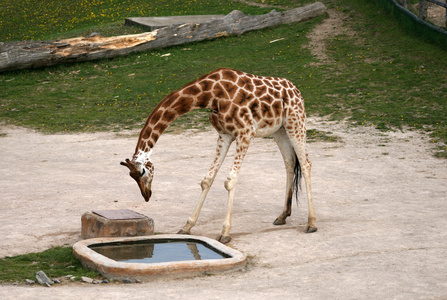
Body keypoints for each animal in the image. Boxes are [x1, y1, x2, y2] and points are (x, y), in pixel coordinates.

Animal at [121, 68, 318, 244]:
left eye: (142, 172)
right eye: (131, 176)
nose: (146, 195)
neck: (210, 95)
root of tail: (296, 90)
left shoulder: (245, 132)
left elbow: (230, 181)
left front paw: (224, 232)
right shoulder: (224, 135)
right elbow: (207, 180)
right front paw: (187, 226)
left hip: (296, 121)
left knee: (306, 163)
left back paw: (311, 223)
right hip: (279, 130)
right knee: (290, 162)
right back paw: (283, 215)